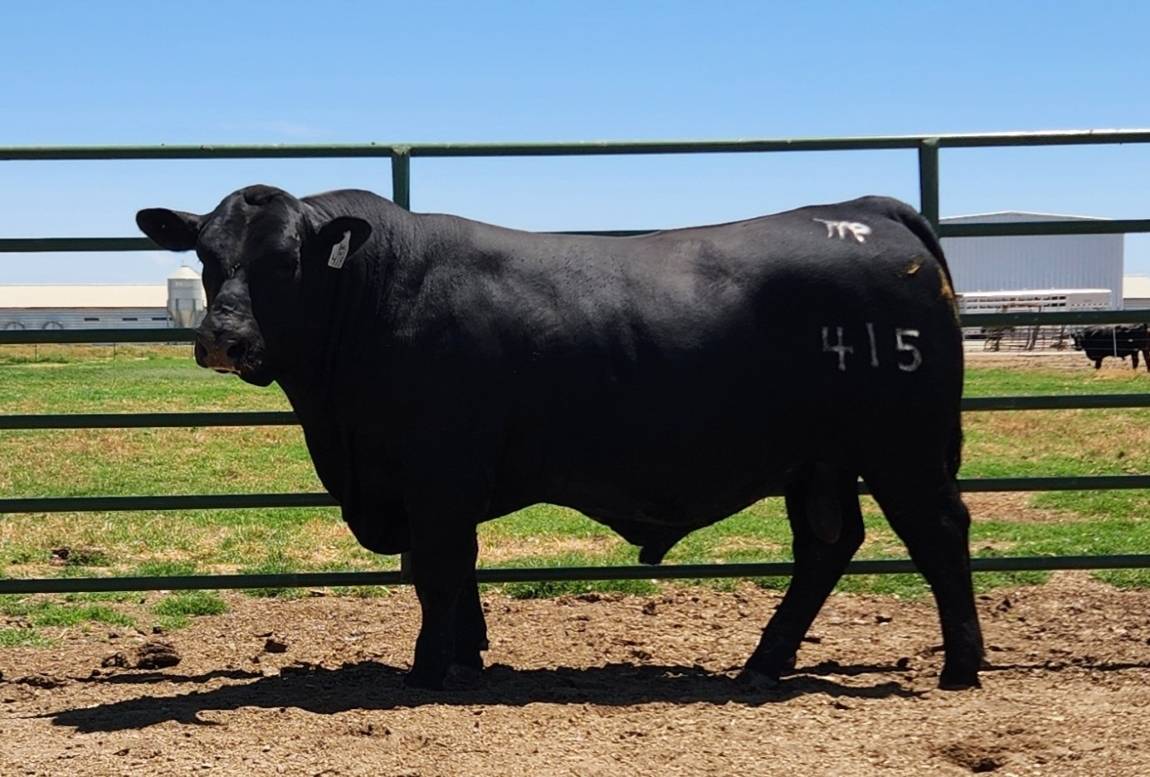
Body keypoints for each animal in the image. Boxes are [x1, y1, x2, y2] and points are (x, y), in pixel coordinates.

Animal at [137, 187, 984, 692]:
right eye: (207, 257)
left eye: (286, 259)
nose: (221, 337)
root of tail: (862, 209)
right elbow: (455, 571)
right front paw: (467, 656)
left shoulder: (437, 475)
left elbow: (437, 570)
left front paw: (428, 669)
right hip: (820, 460)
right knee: (826, 545)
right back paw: (761, 664)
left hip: (903, 449)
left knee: (940, 534)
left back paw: (961, 667)